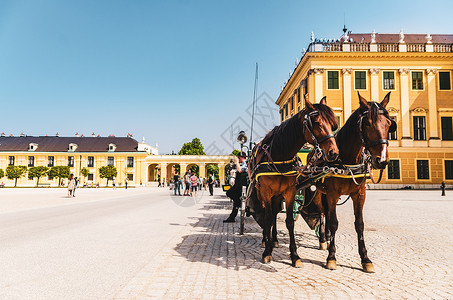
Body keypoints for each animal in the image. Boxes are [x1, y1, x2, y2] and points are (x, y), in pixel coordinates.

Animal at [247, 96, 340, 268]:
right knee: (267, 215)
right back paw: (265, 240)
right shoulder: (266, 191)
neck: (279, 156)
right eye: (316, 122)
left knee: (275, 214)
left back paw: (274, 240)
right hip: (261, 193)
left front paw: (295, 256)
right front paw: (267, 252)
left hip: (278, 195)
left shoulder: (289, 192)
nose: (333, 152)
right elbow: (267, 219)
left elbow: (289, 222)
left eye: (332, 124)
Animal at [308, 92, 396, 274]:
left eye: (389, 124)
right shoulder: (332, 194)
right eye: (368, 123)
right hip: (319, 192)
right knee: (322, 213)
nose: (382, 160)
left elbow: (360, 225)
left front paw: (365, 259)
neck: (347, 160)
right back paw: (323, 239)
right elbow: (334, 222)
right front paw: (331, 257)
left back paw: (328, 238)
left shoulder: (359, 194)